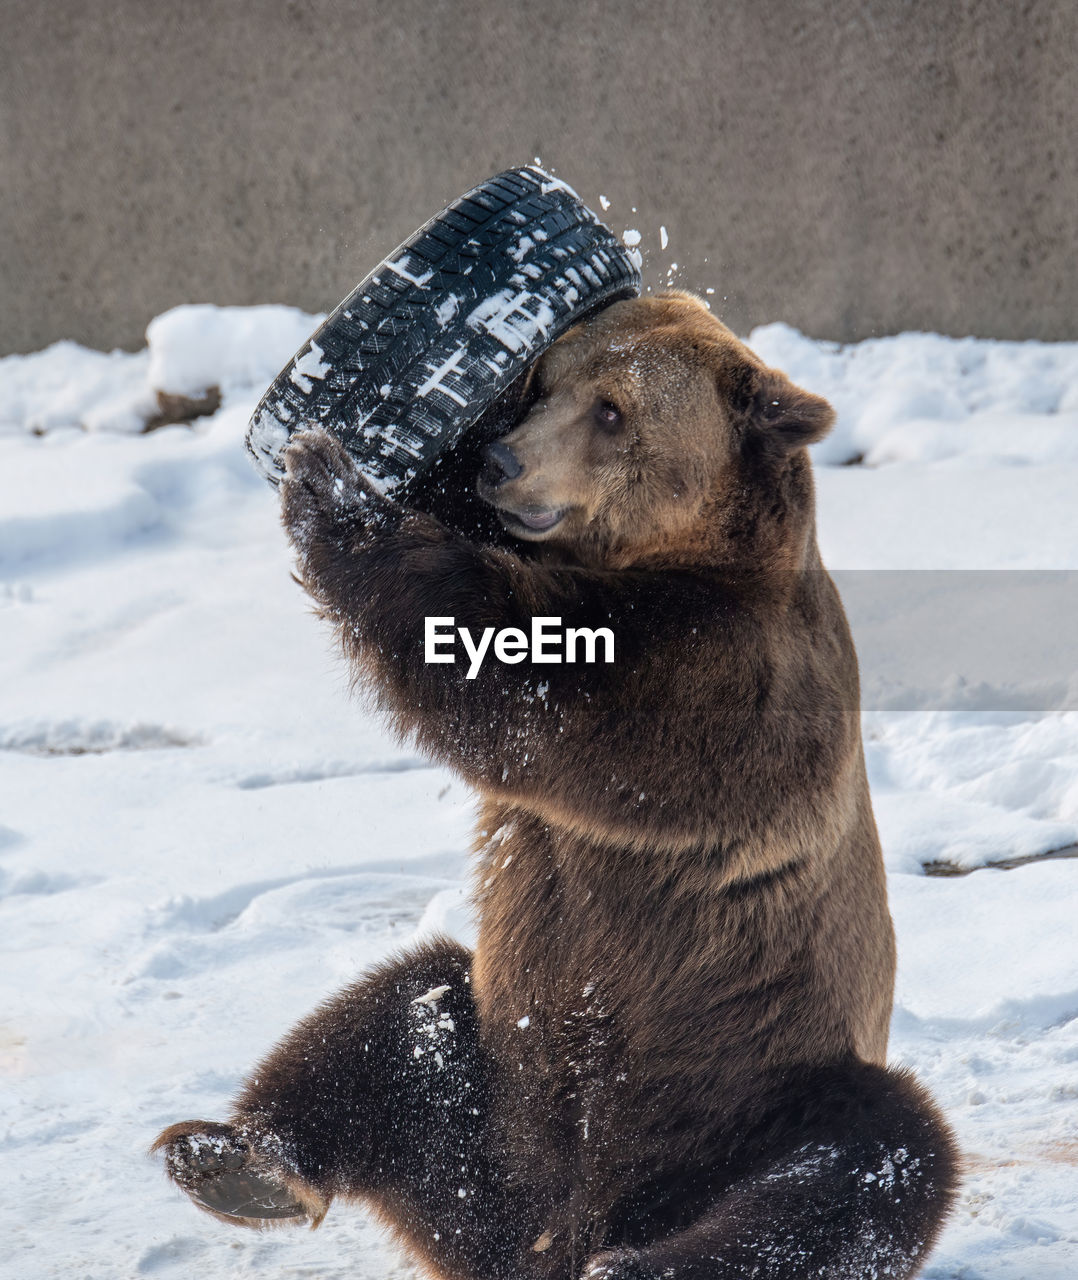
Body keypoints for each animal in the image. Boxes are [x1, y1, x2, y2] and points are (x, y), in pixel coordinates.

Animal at [153, 293, 957, 1280]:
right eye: (541, 381)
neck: (674, 555)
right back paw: (234, 1160)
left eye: (612, 411)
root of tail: (553, 1233)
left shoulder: (722, 677)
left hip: (746, 1089)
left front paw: (327, 479)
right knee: (396, 1018)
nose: (499, 461)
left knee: (869, 1161)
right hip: (492, 1101)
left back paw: (643, 1263)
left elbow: (520, 678)